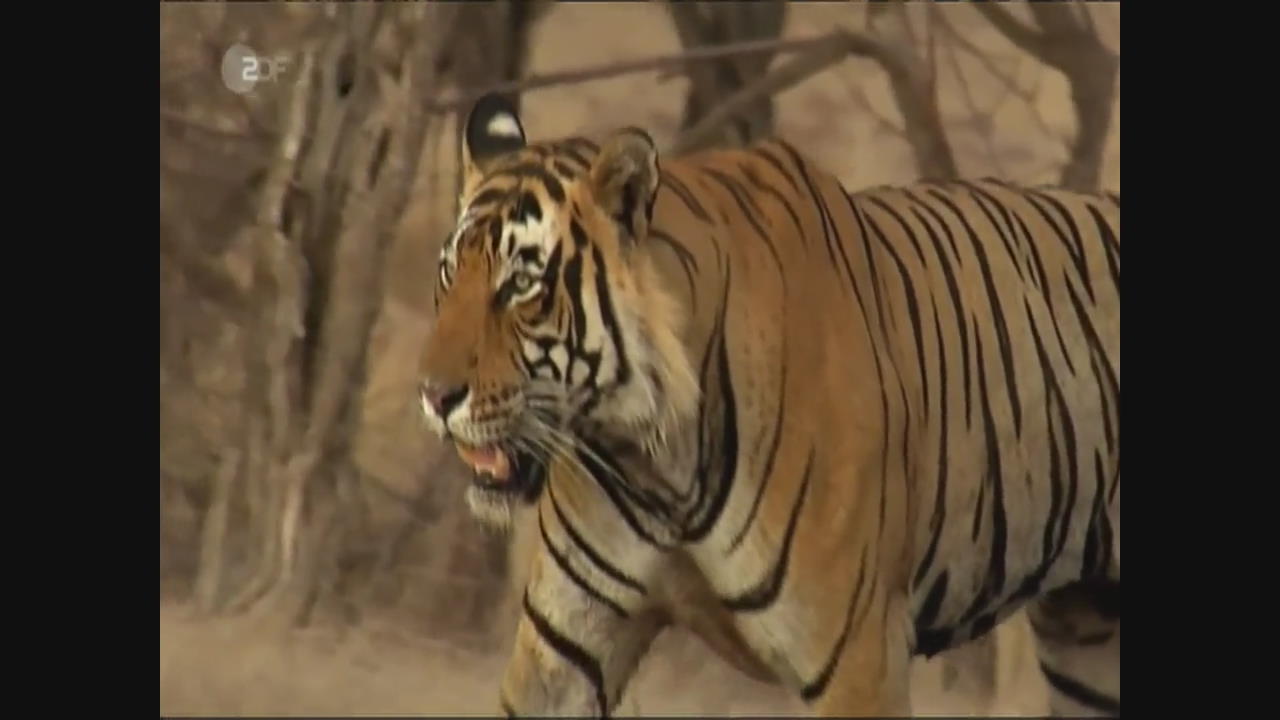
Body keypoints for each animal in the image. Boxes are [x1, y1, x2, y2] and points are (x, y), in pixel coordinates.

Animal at [419, 92, 1121, 712]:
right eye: (449, 273)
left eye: (521, 284)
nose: (433, 395)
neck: (653, 466)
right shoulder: (565, 643)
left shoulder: (857, 656)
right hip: (1086, 641)